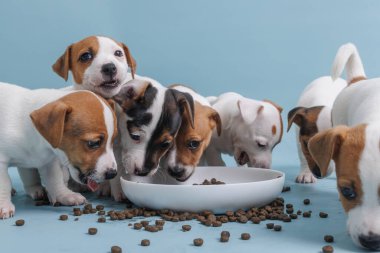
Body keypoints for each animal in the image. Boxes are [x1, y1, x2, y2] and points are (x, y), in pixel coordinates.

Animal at [0, 82, 117, 217]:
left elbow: (55, 179)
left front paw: (65, 196)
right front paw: (3, 205)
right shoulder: (1, 162)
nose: (113, 174)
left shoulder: (49, 161)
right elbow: (3, 184)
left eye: (113, 140)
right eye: (93, 143)